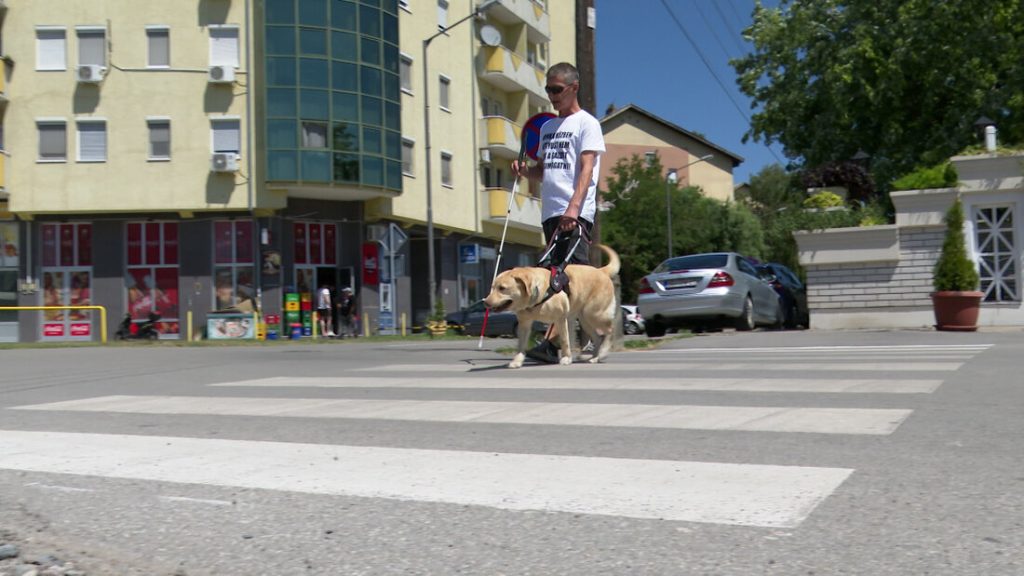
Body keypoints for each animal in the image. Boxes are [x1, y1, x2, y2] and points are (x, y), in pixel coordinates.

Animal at [483, 242, 618, 366]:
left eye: (502, 288)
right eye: (492, 287)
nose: (485, 302)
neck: (537, 294)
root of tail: (601, 271)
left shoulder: (561, 318)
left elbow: (564, 340)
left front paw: (566, 358)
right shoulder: (524, 324)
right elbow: (521, 345)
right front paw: (517, 361)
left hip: (594, 314)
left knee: (611, 330)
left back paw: (603, 352)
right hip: (585, 320)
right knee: (597, 337)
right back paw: (595, 357)